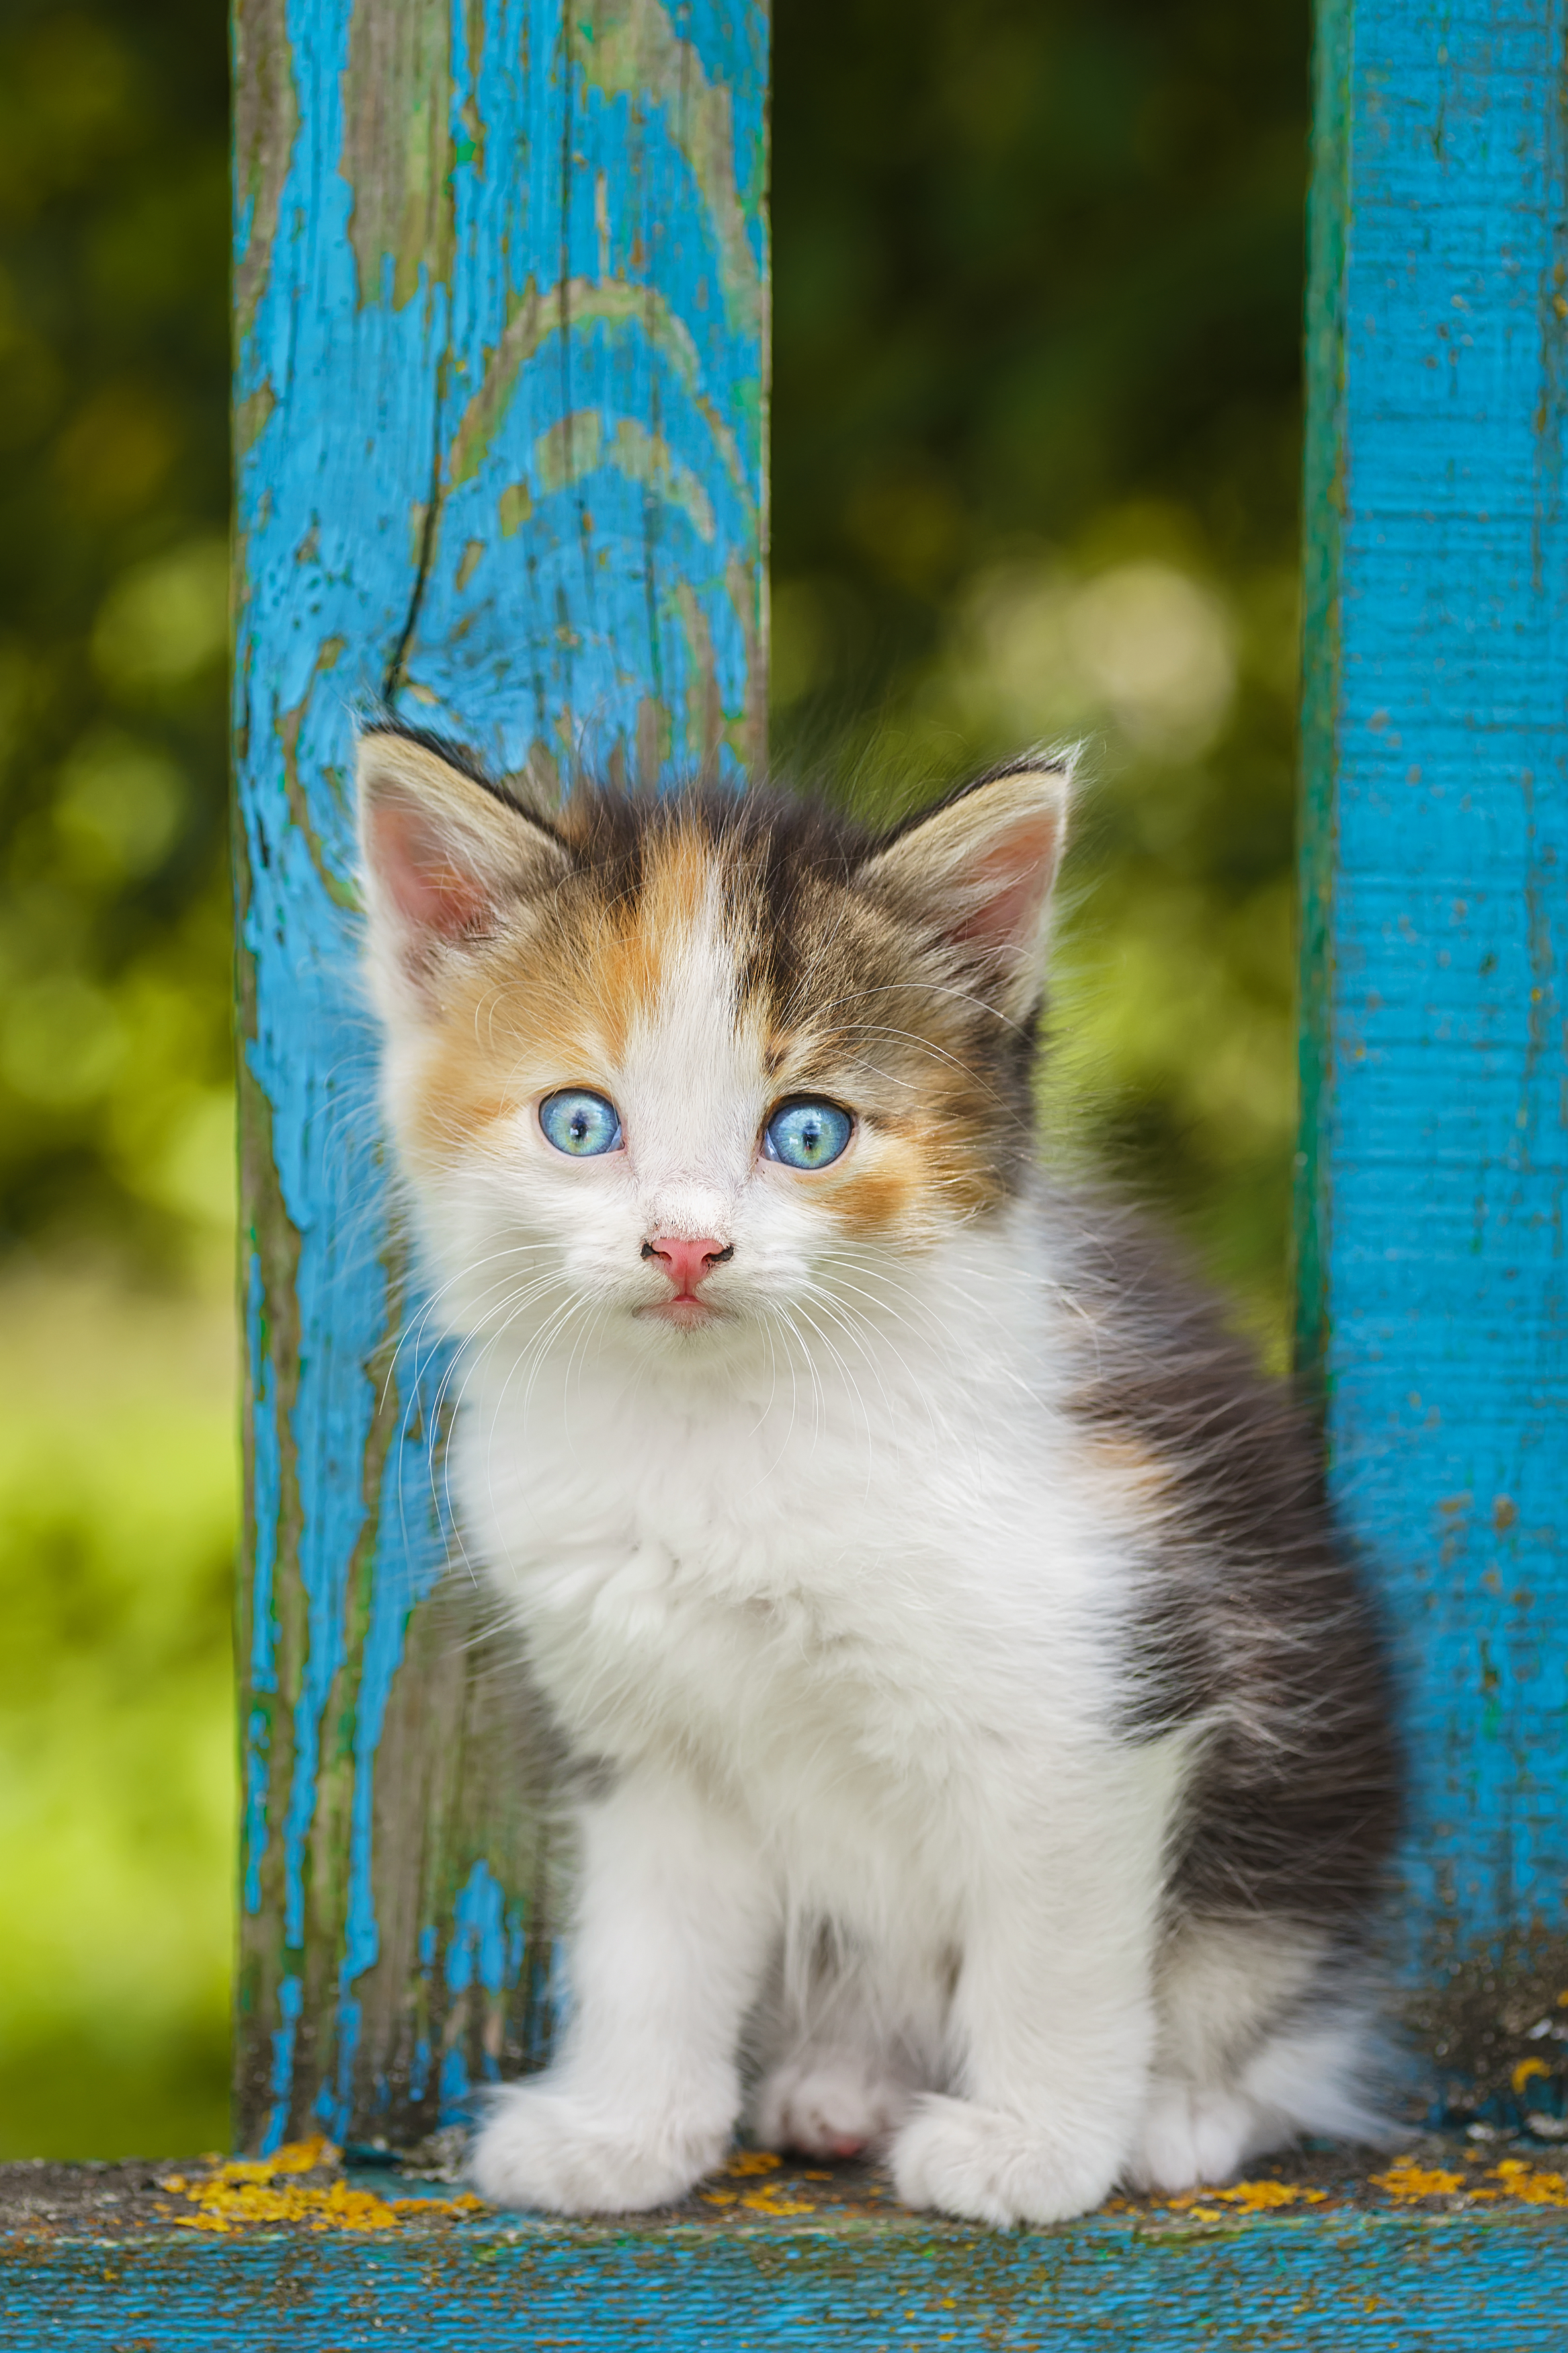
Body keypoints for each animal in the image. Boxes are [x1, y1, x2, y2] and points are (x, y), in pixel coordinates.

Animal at [355, 720, 1401, 2221]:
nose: (685, 1246)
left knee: (1265, 2008)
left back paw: (1179, 2113)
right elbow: (646, 1942)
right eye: (578, 1124)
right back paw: (839, 2085)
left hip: (1304, 1808)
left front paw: (1032, 2147)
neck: (722, 1433)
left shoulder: (1091, 1681)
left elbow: (1052, 1951)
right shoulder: (641, 1730)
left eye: (807, 1134)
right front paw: (621, 2134)